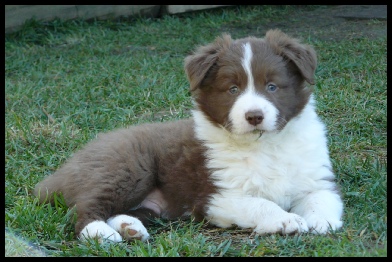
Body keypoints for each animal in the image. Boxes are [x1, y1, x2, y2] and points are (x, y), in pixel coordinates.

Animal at [36, 29, 344, 243]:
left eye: (272, 86)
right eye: (232, 89)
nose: (254, 116)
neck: (264, 146)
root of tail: (68, 166)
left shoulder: (315, 178)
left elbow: (323, 198)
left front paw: (321, 222)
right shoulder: (217, 195)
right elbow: (259, 202)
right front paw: (284, 220)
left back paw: (129, 228)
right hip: (126, 168)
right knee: (84, 207)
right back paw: (101, 232)